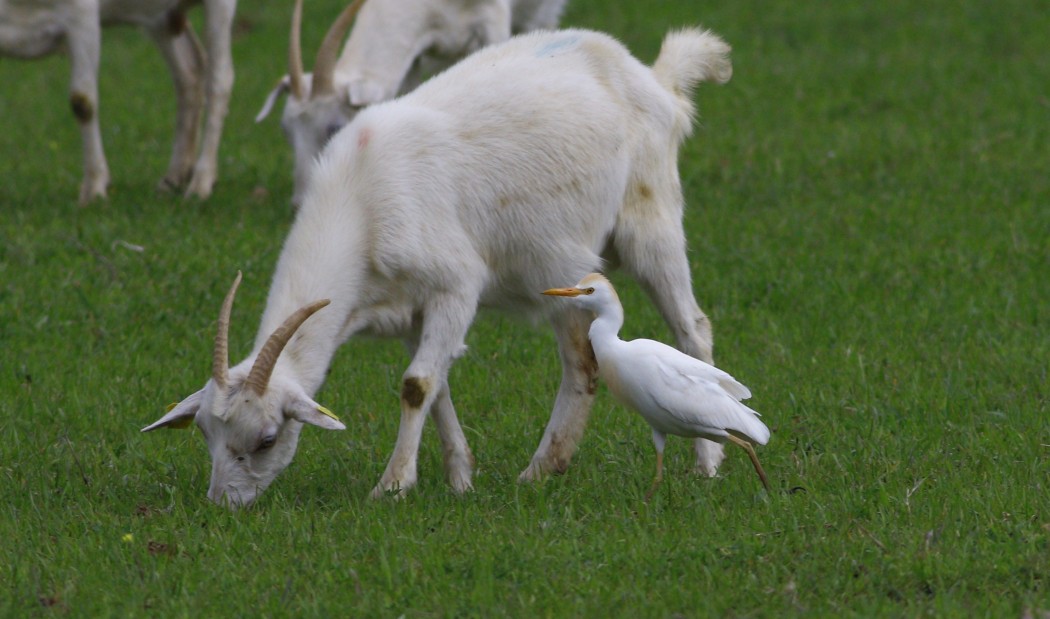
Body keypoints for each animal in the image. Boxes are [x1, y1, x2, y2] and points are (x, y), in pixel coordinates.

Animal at [0, 0, 238, 204]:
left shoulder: (82, 15)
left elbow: (82, 102)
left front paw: (94, 190)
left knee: (220, 79)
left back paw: (200, 185)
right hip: (162, 17)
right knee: (189, 70)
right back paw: (173, 179)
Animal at [141, 24, 730, 509]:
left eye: (266, 439)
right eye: (206, 435)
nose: (223, 504)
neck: (360, 200)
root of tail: (654, 80)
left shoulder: (456, 286)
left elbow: (417, 385)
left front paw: (393, 486)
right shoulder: (409, 311)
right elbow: (437, 384)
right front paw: (460, 479)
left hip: (649, 218)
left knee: (692, 328)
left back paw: (706, 466)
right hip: (564, 271)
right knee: (580, 365)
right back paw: (542, 469)